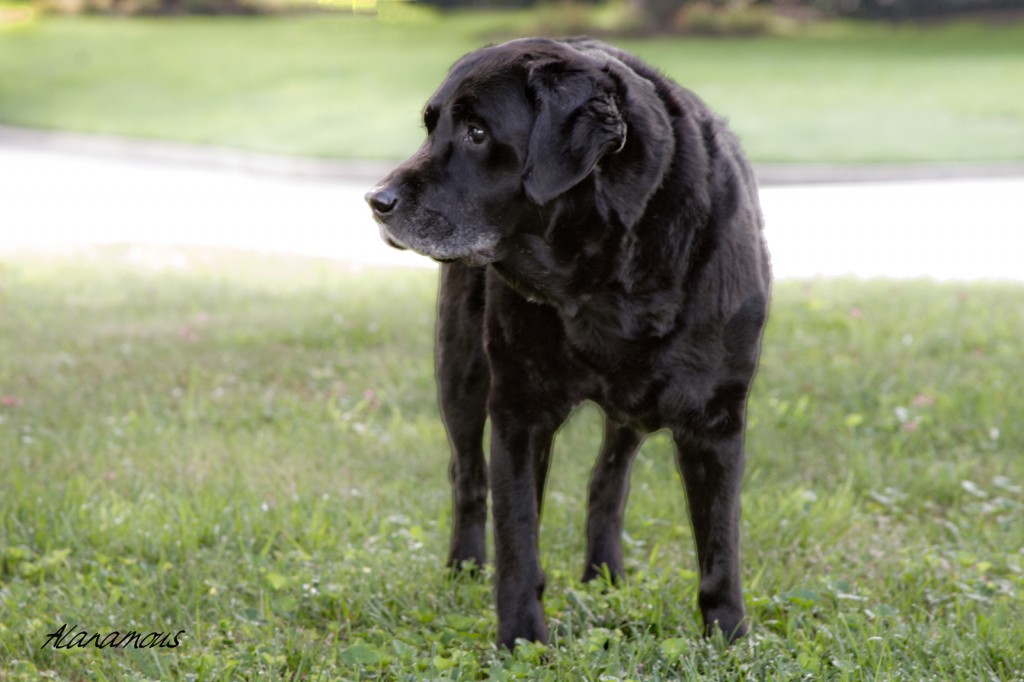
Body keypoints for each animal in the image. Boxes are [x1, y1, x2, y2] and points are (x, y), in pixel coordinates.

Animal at [364, 37, 770, 647]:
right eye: (430, 128)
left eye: (477, 133)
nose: (376, 200)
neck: (606, 277)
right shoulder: (517, 409)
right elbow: (516, 537)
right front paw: (522, 638)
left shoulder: (717, 419)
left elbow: (720, 544)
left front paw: (728, 635)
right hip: (459, 370)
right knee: (467, 475)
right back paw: (465, 567)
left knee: (607, 480)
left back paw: (604, 573)